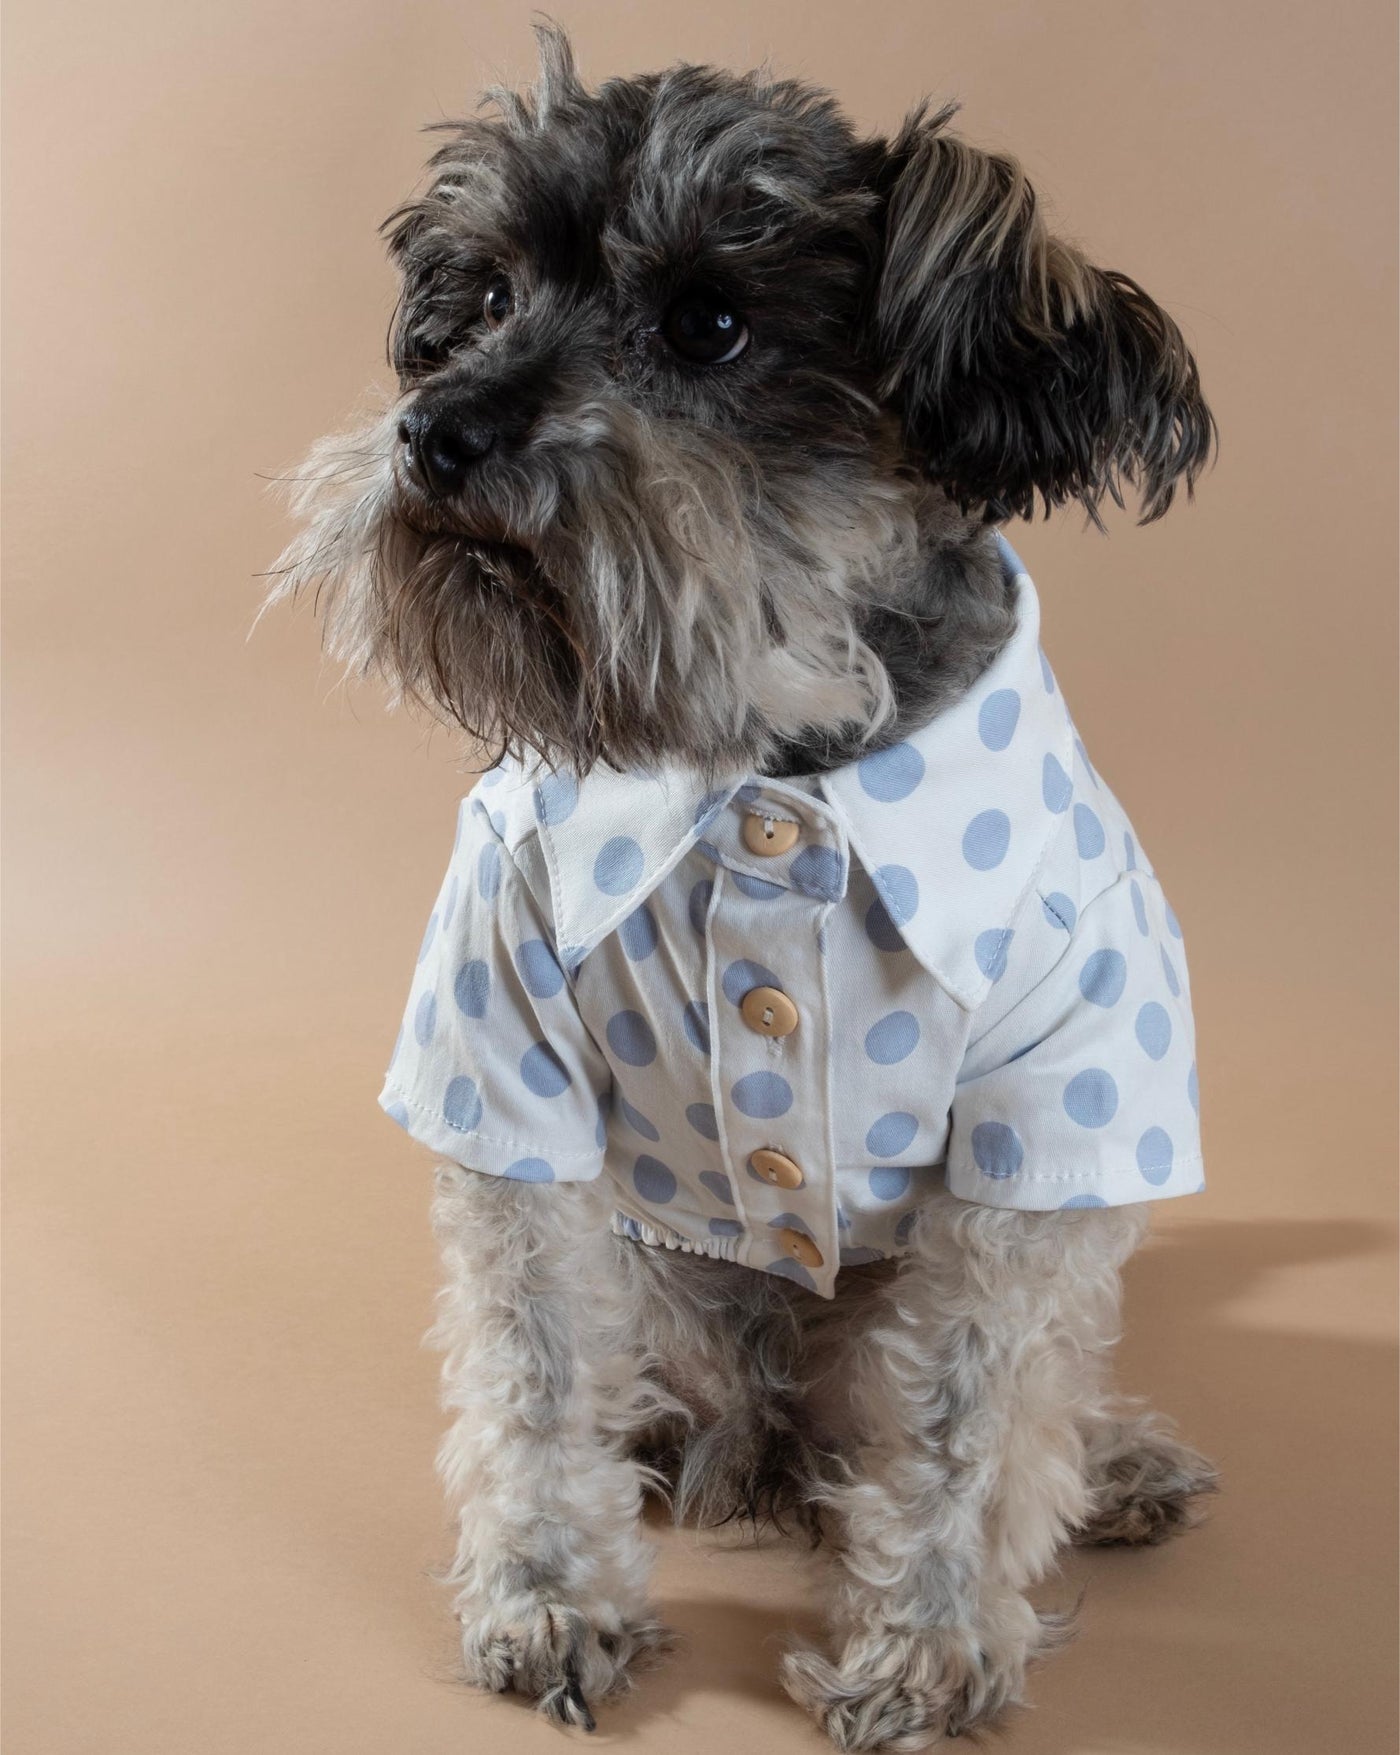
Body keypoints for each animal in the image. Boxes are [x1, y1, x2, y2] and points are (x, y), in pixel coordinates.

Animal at [271, 30, 1214, 1755]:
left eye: (709, 322)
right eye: (486, 296)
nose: (434, 429)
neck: (776, 748)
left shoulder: (1055, 1110)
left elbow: (978, 1408)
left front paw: (926, 1643)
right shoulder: (503, 1063)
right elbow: (531, 1363)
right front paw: (549, 1589)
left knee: (979, 1404)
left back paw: (1104, 1459)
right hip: (672, 1298)